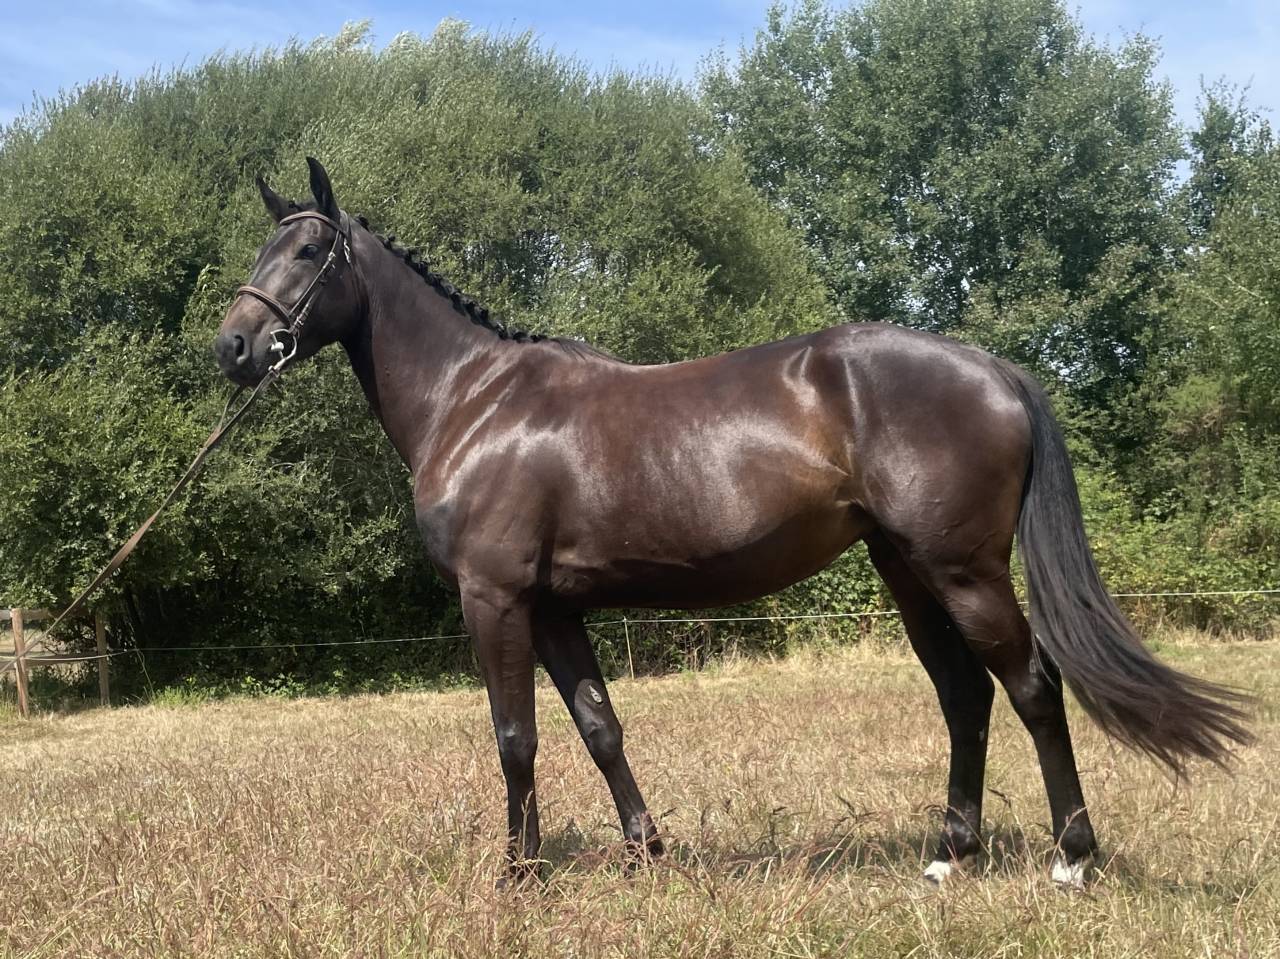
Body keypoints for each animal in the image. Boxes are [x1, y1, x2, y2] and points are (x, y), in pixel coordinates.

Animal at [215, 158, 1250, 887]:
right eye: (266, 249)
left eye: (306, 253)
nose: (234, 346)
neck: (476, 401)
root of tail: (992, 367)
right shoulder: (555, 607)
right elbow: (599, 726)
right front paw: (647, 851)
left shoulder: (495, 597)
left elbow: (517, 738)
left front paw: (519, 875)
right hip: (908, 569)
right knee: (965, 694)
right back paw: (950, 850)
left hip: (964, 570)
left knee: (1031, 687)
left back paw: (1073, 856)